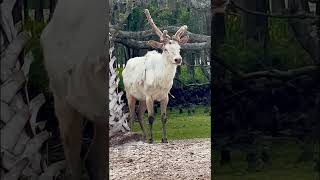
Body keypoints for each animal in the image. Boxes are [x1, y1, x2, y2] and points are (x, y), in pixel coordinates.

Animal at [122, 9, 188, 143]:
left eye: (179, 48)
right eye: (165, 49)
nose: (178, 59)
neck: (161, 82)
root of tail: (125, 67)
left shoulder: (165, 96)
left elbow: (163, 117)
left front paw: (164, 139)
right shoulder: (149, 95)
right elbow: (151, 117)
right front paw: (152, 139)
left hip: (141, 98)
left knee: (139, 113)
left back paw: (143, 137)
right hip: (129, 93)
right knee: (131, 114)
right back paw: (133, 134)